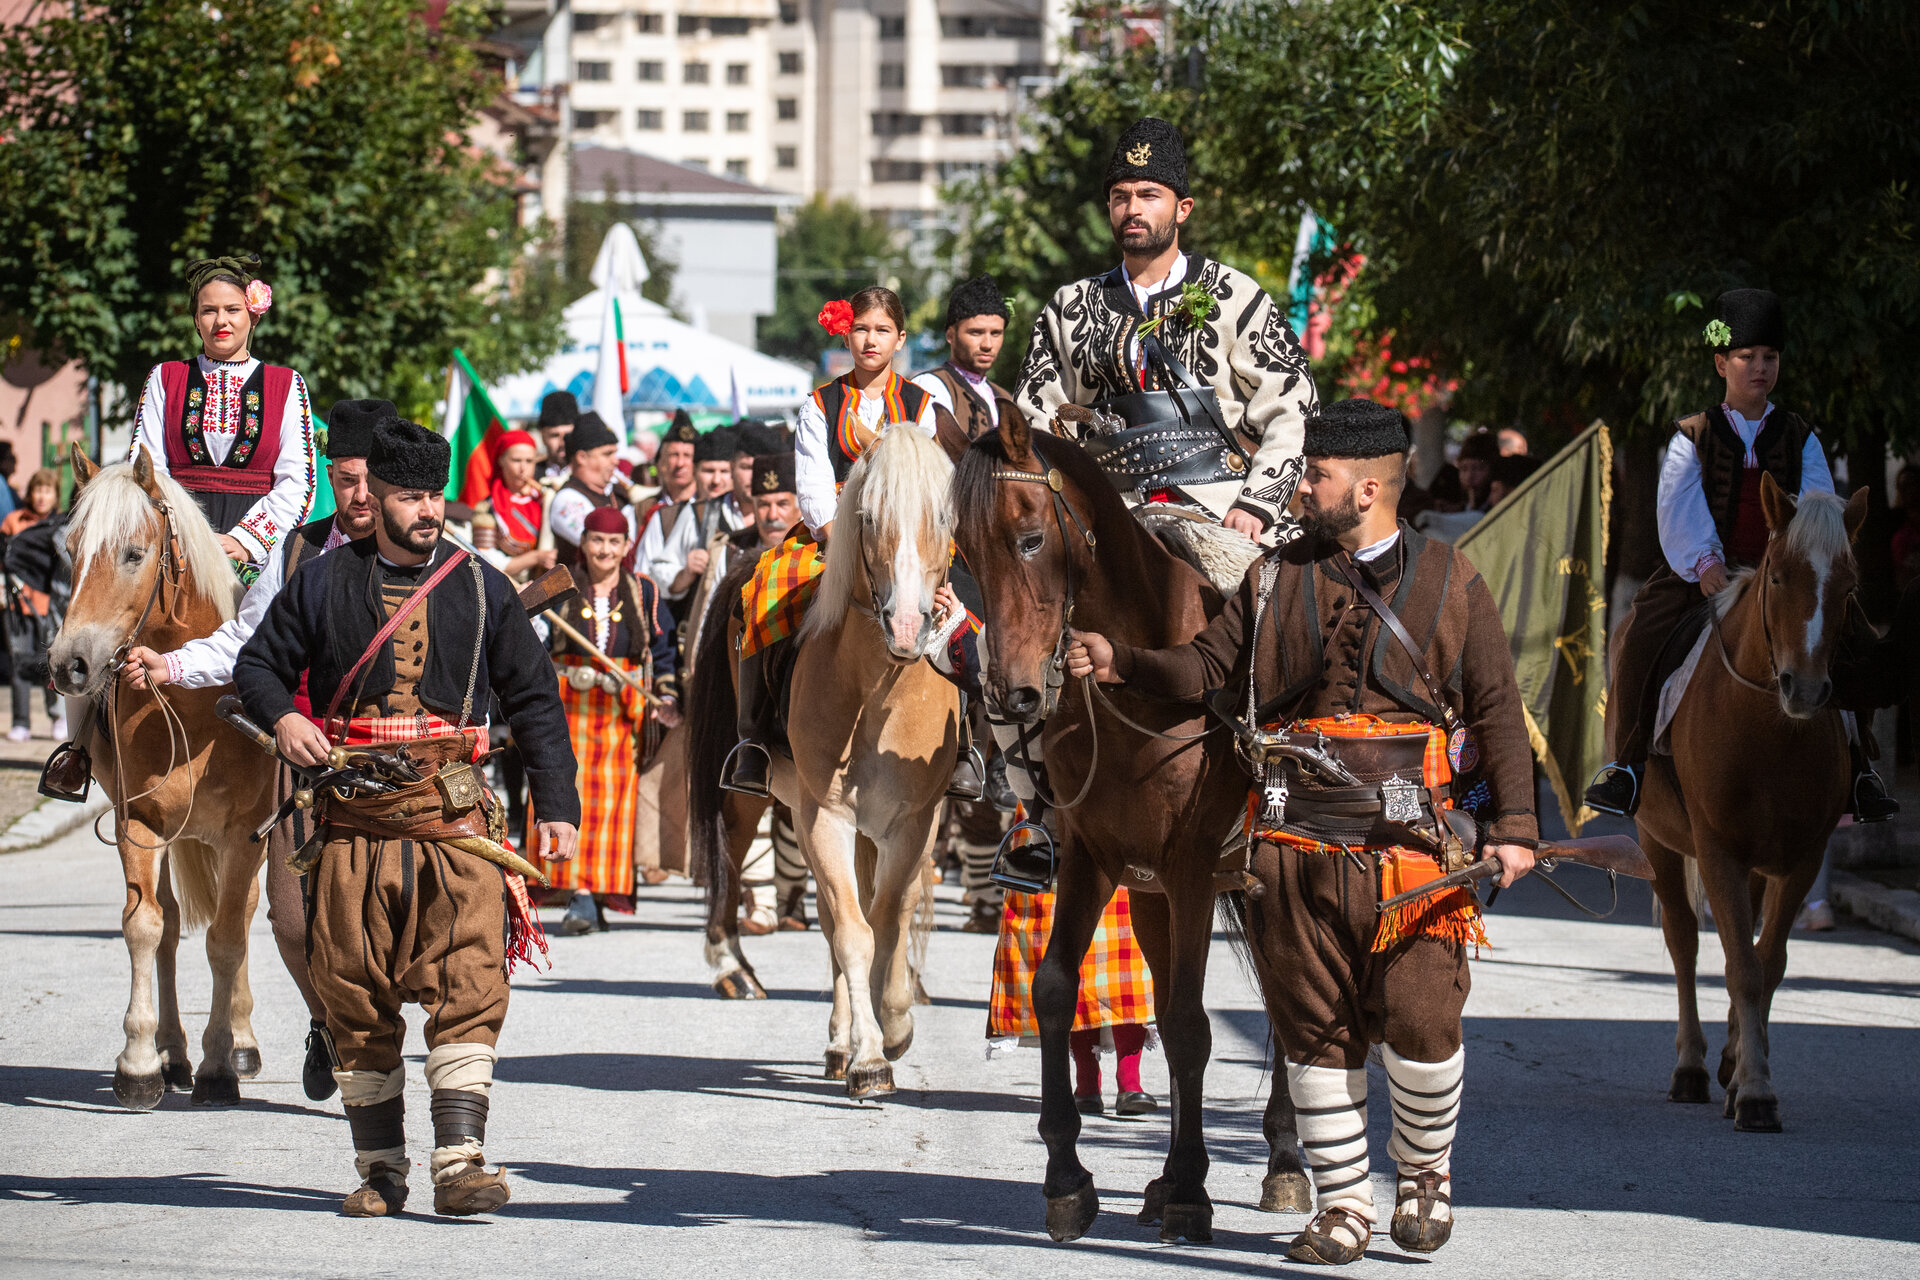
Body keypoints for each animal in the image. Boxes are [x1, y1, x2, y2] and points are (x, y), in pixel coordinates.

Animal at [48, 450, 278, 1113]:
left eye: (133, 552)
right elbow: (146, 926)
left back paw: (240, 1044)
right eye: (70, 549)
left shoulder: (245, 834)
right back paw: (176, 1054)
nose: (68, 664)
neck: (191, 699)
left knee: (241, 918)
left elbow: (226, 938)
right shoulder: (140, 822)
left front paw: (220, 1065)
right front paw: (141, 1060)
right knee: (174, 925)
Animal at [691, 422, 960, 1105]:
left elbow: (886, 922)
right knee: (763, 874)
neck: (881, 692)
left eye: (944, 515)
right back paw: (743, 975)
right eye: (868, 516)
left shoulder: (914, 821)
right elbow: (854, 931)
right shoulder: (824, 815)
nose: (909, 625)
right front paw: (869, 1057)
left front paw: (893, 1025)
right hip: (763, 799)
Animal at [952, 418, 1313, 1243]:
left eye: (1029, 538)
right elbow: (1057, 990)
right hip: (1152, 893)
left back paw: (1280, 1164)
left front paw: (1192, 1190)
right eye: (963, 550)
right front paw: (1068, 1178)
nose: (1014, 692)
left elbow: (1187, 1023)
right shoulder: (1097, 855)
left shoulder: (1191, 863)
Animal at [1643, 475, 1866, 1128]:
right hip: (1655, 841)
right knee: (1685, 942)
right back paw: (1692, 1067)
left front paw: (1748, 1074)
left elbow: (1767, 965)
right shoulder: (1718, 851)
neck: (1768, 729)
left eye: (1849, 587)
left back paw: (1727, 1060)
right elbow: (1740, 966)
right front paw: (1756, 1092)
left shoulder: (1801, 860)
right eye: (1778, 577)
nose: (1807, 689)